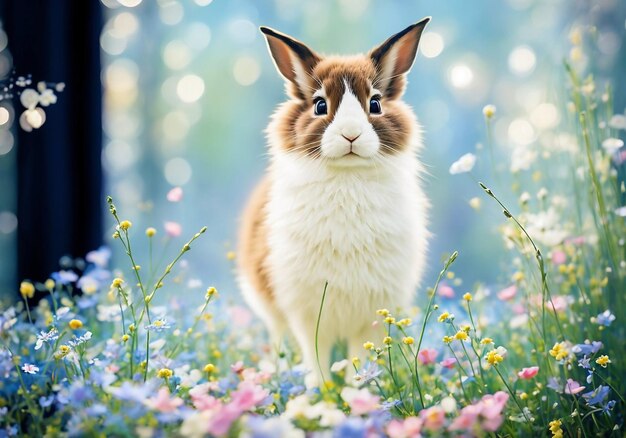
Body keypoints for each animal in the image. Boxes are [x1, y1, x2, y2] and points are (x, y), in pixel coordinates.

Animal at [238, 18, 428, 386]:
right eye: (320, 105)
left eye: (375, 103)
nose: (350, 134)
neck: (347, 177)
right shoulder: (306, 312)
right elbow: (315, 356)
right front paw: (320, 391)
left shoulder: (368, 317)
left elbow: (359, 356)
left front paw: (359, 391)